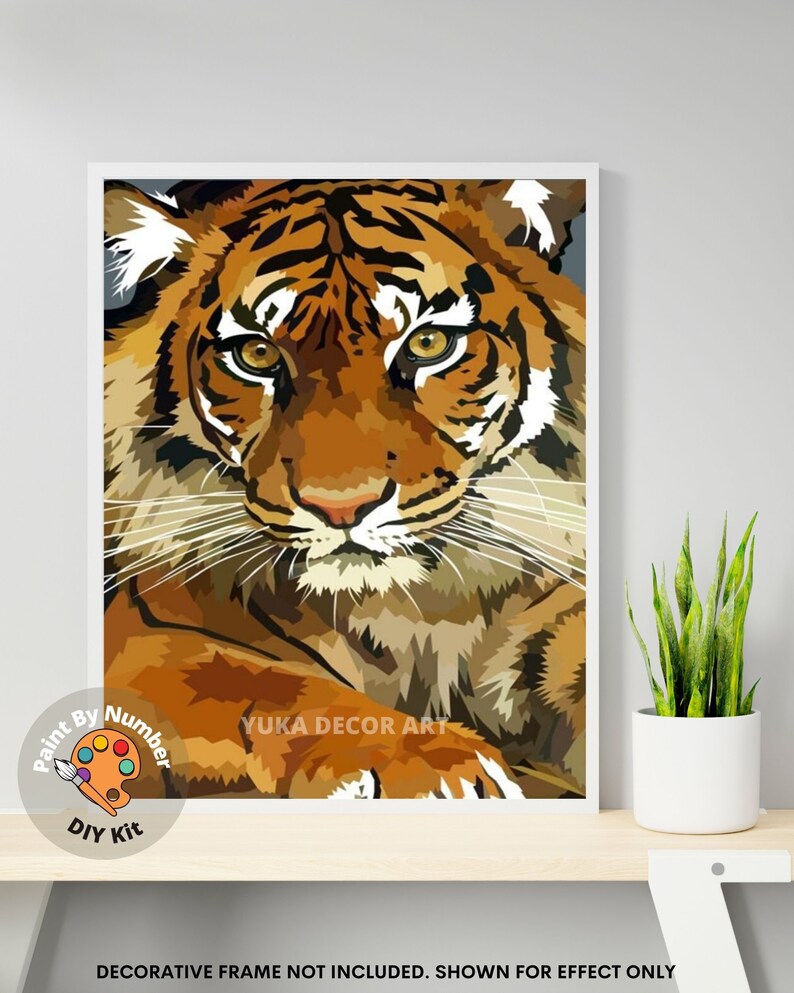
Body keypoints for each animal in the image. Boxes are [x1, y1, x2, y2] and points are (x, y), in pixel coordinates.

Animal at [103, 177, 587, 800]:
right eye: (257, 354)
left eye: (429, 344)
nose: (341, 508)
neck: (421, 612)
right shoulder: (145, 633)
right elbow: (270, 683)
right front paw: (434, 765)